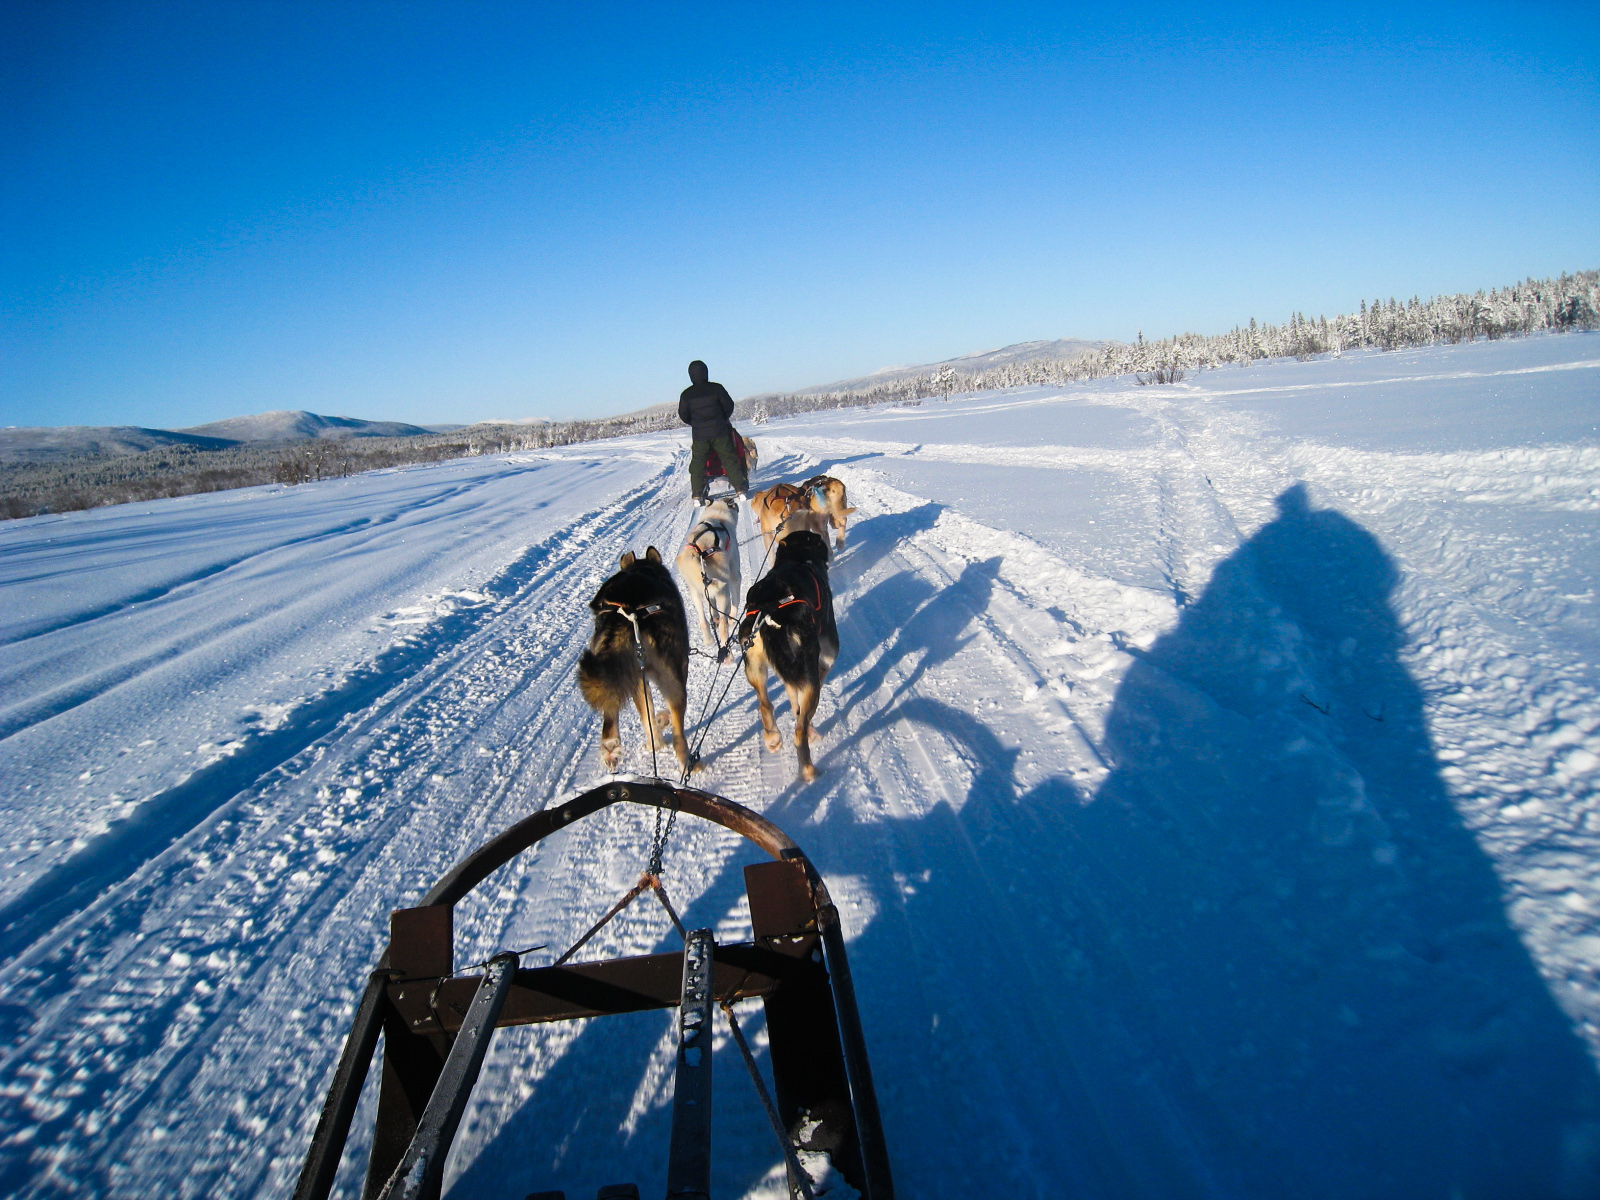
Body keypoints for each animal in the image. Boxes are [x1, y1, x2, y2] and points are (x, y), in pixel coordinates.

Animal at [579, 547, 697, 774]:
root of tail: (630, 611)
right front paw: (663, 719)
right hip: (672, 679)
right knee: (678, 734)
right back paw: (685, 759)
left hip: (623, 673)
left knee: (613, 706)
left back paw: (612, 746)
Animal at [678, 502, 745, 662]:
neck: (717, 516)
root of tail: (699, 551)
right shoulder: (735, 577)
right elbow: (735, 602)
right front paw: (732, 619)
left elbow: (712, 608)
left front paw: (714, 616)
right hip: (723, 592)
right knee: (723, 625)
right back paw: (728, 656)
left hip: (695, 592)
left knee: (703, 620)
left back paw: (709, 639)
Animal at [736, 531, 838, 784]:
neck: (798, 558)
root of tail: (769, 610)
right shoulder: (827, 654)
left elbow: (793, 700)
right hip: (809, 674)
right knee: (799, 732)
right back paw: (809, 769)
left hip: (755, 668)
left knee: (765, 704)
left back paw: (773, 738)